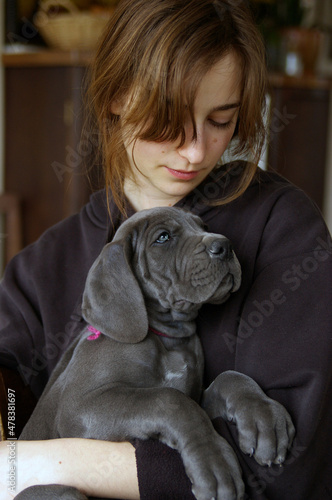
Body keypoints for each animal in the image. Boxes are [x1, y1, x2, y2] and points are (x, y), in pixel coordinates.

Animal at [16, 206, 294, 500]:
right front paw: (214, 462)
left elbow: (228, 378)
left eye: (203, 226)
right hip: (62, 491)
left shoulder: (194, 393)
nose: (225, 245)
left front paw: (263, 415)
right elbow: (169, 399)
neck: (167, 339)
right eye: (163, 237)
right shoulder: (79, 406)